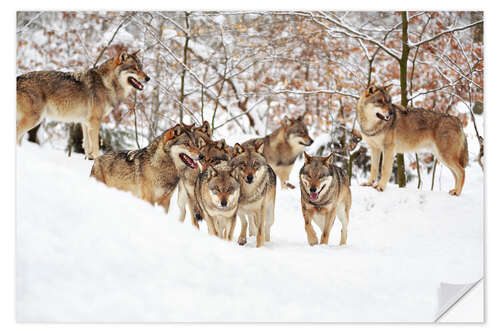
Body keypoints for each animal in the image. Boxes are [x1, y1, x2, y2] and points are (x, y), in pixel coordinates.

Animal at [18, 50, 150, 159]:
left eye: (141, 67)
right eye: (135, 68)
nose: (148, 78)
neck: (107, 83)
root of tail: (18, 78)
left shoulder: (85, 122)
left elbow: (87, 146)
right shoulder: (95, 121)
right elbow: (95, 146)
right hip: (34, 119)